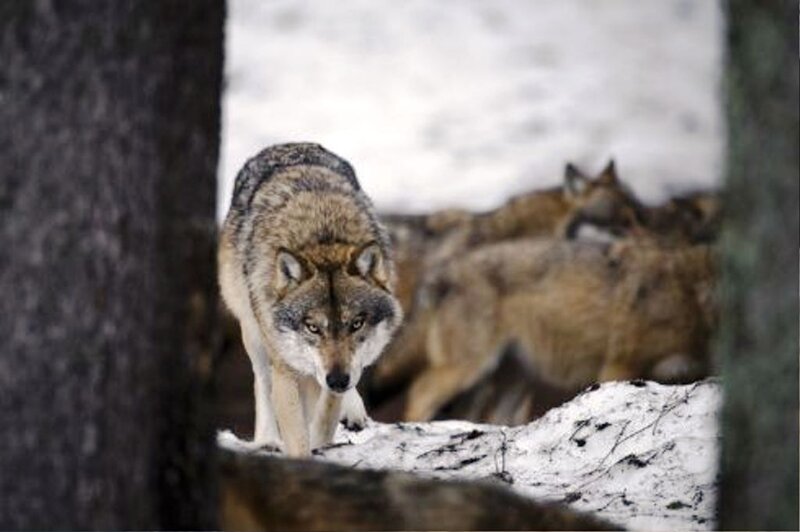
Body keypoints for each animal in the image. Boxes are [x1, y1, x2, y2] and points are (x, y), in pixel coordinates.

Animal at [218, 143, 403, 456]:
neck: (321, 235)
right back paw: (267, 439)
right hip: (253, 331)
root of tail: (287, 145)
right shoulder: (286, 369)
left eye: (356, 323)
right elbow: (296, 434)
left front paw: (322, 435)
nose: (338, 379)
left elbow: (326, 414)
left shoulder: (336, 373)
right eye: (313, 327)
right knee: (261, 381)